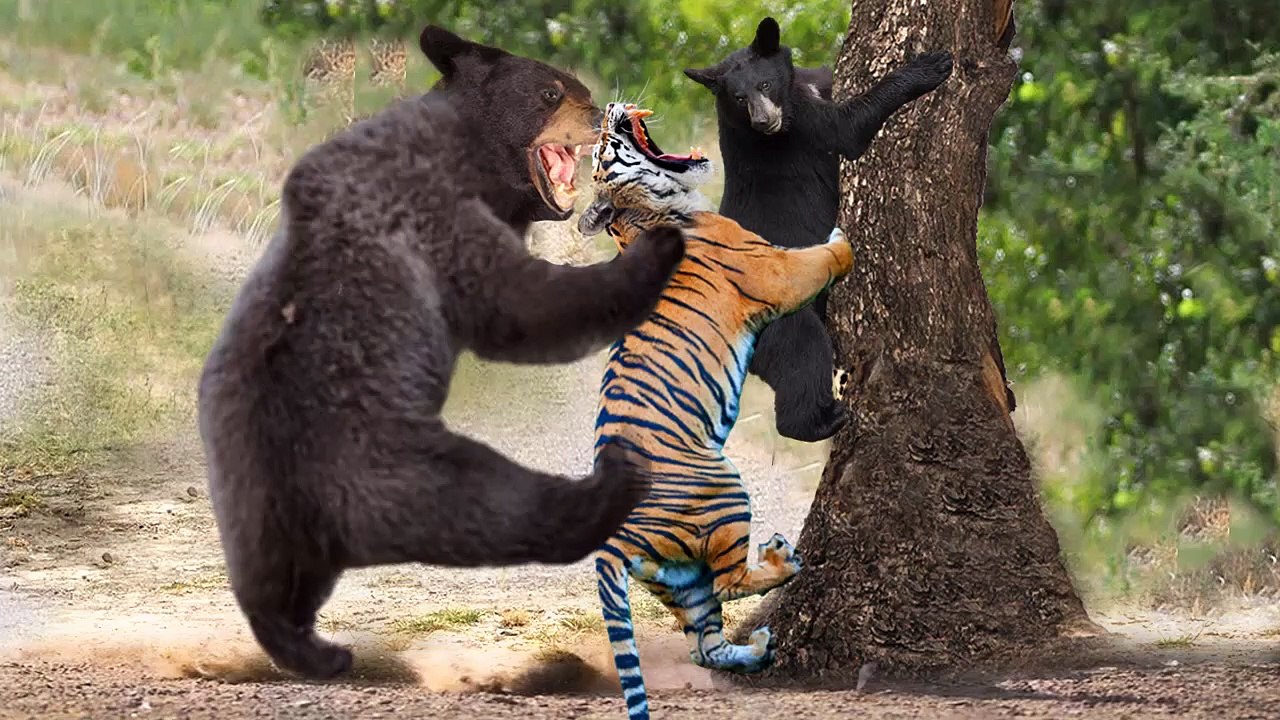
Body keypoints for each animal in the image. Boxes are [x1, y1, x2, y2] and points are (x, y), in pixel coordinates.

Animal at [196, 24, 686, 681]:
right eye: (553, 90)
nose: (601, 114)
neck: (473, 154)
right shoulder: (438, 210)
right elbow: (521, 304)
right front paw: (659, 243)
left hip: (247, 494)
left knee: (269, 585)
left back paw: (315, 648)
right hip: (401, 467)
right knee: (496, 503)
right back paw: (615, 481)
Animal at [577, 102, 855, 720]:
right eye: (605, 145)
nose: (609, 108)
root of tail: (611, 544)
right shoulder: (772, 269)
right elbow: (817, 258)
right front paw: (843, 236)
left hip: (680, 582)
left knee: (705, 643)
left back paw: (757, 648)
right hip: (724, 487)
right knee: (731, 582)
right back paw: (782, 562)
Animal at [684, 17, 953, 442]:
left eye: (764, 85)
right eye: (739, 98)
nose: (764, 122)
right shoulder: (802, 125)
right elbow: (846, 127)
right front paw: (931, 65)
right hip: (782, 316)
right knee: (804, 352)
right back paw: (825, 419)